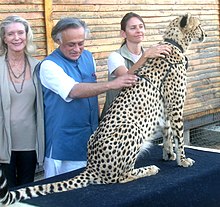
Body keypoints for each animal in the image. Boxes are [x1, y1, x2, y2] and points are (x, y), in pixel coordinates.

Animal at [0, 13, 206, 205]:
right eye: (199, 26)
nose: (205, 34)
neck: (174, 43)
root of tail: (92, 167)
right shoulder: (176, 105)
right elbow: (178, 134)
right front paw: (183, 160)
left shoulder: (166, 107)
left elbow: (167, 132)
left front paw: (169, 155)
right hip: (132, 128)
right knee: (119, 177)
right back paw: (148, 170)